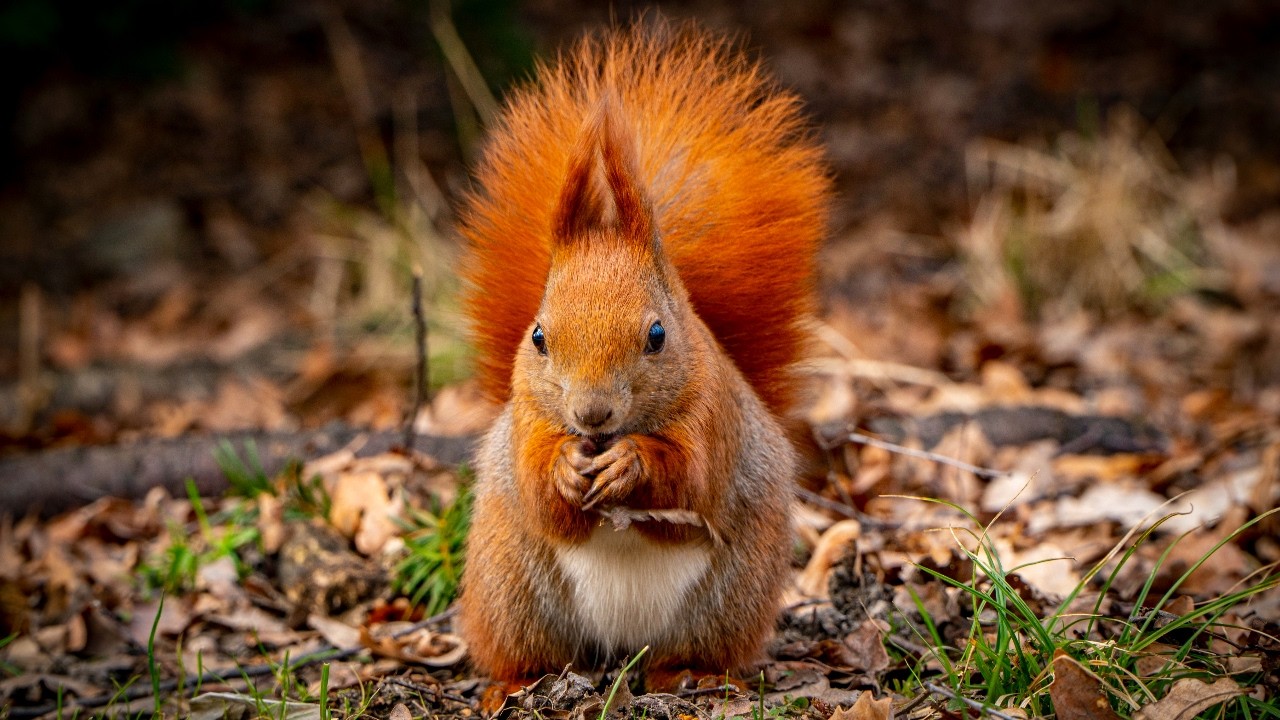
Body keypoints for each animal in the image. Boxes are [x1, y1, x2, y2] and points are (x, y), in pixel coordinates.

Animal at [455, 20, 830, 684]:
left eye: (657, 335)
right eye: (538, 337)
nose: (591, 414)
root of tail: (624, 647)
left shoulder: (713, 415)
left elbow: (691, 477)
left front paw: (630, 464)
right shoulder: (527, 417)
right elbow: (538, 488)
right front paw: (564, 467)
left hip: (730, 597)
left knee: (694, 649)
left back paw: (688, 675)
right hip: (513, 589)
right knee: (526, 653)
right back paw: (512, 686)